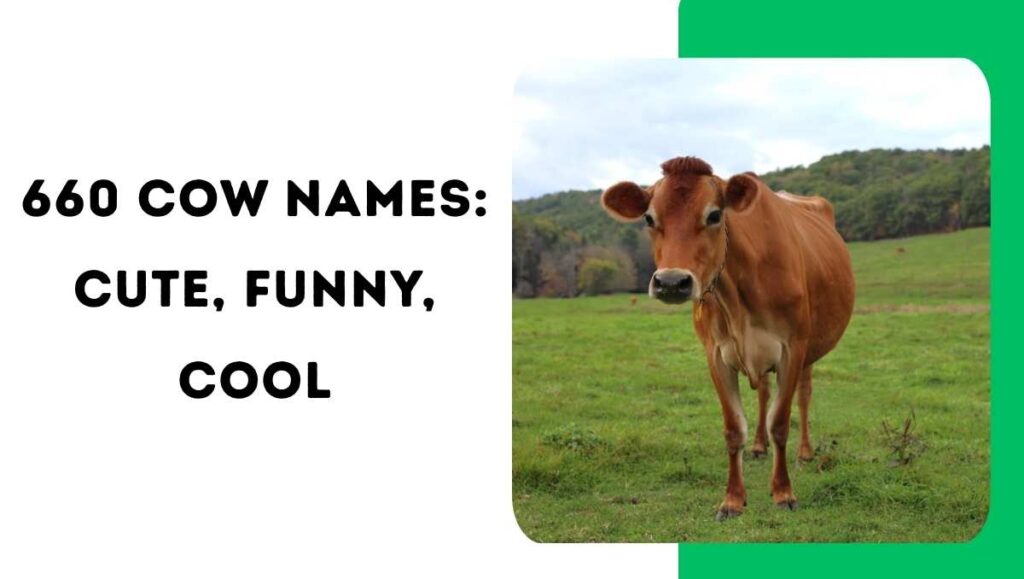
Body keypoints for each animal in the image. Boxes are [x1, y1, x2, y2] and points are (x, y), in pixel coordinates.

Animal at [600, 156, 854, 521]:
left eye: (714, 215)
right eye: (649, 218)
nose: (671, 282)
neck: (738, 297)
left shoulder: (792, 349)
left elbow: (781, 422)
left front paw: (783, 492)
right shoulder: (716, 355)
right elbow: (734, 429)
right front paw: (733, 499)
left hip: (810, 349)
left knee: (803, 396)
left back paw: (805, 452)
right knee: (764, 392)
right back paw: (759, 446)